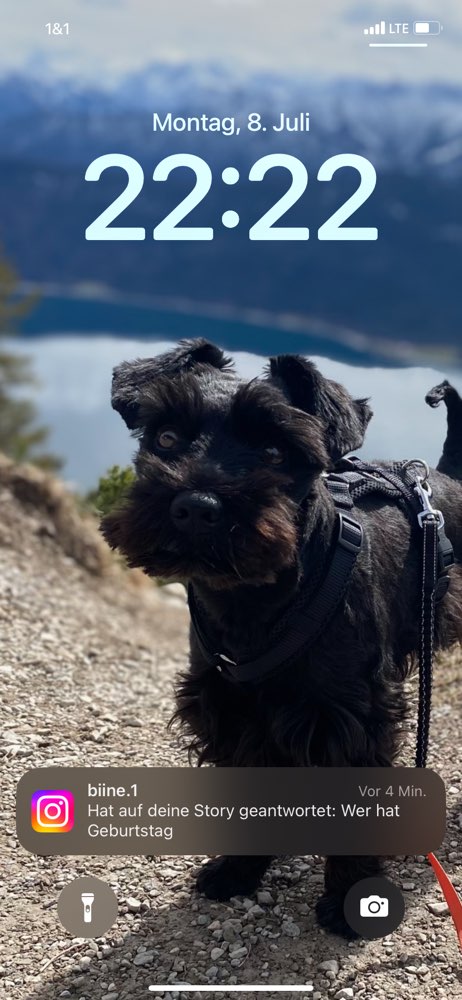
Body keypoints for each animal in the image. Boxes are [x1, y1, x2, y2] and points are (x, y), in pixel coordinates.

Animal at [102, 342, 462, 936]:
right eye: (166, 437)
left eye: (275, 450)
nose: (196, 507)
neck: (256, 601)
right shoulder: (233, 713)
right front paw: (237, 871)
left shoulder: (352, 717)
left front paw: (351, 901)